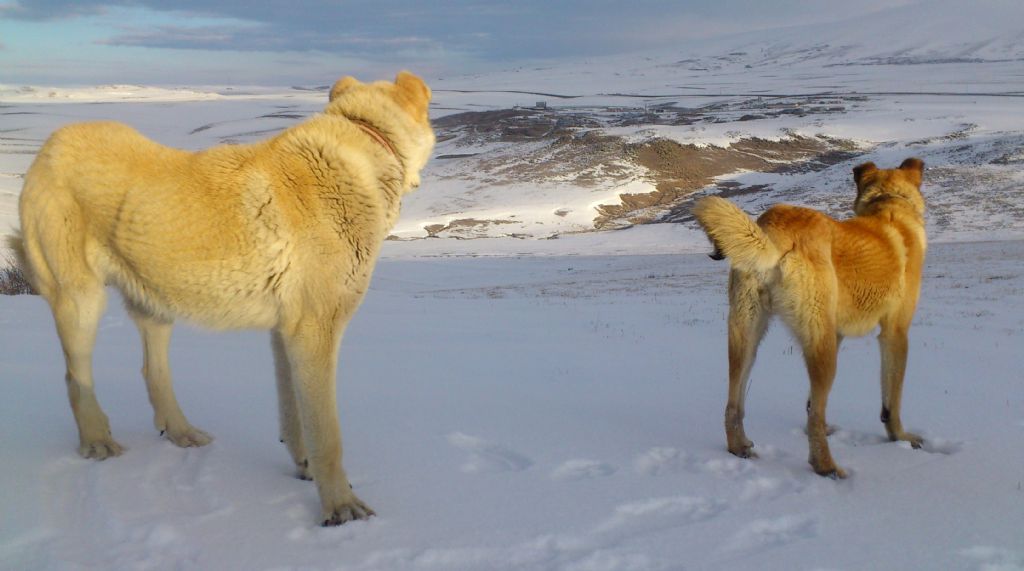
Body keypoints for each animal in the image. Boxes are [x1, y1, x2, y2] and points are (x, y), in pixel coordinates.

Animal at [12, 71, 436, 528]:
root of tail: (51, 143)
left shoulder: (286, 335)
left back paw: (182, 432)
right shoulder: (315, 331)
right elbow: (327, 433)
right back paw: (97, 441)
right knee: (77, 377)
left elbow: (294, 414)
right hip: (81, 300)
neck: (367, 137)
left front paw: (303, 468)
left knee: (153, 371)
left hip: (155, 303)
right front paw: (340, 507)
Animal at [696, 157, 929, 478]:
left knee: (734, 402)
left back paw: (739, 446)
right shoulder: (895, 332)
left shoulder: (838, 334)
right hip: (821, 346)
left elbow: (809, 402)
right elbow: (892, 398)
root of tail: (775, 232)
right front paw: (901, 438)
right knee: (816, 416)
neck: (889, 203)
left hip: (747, 335)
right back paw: (827, 467)